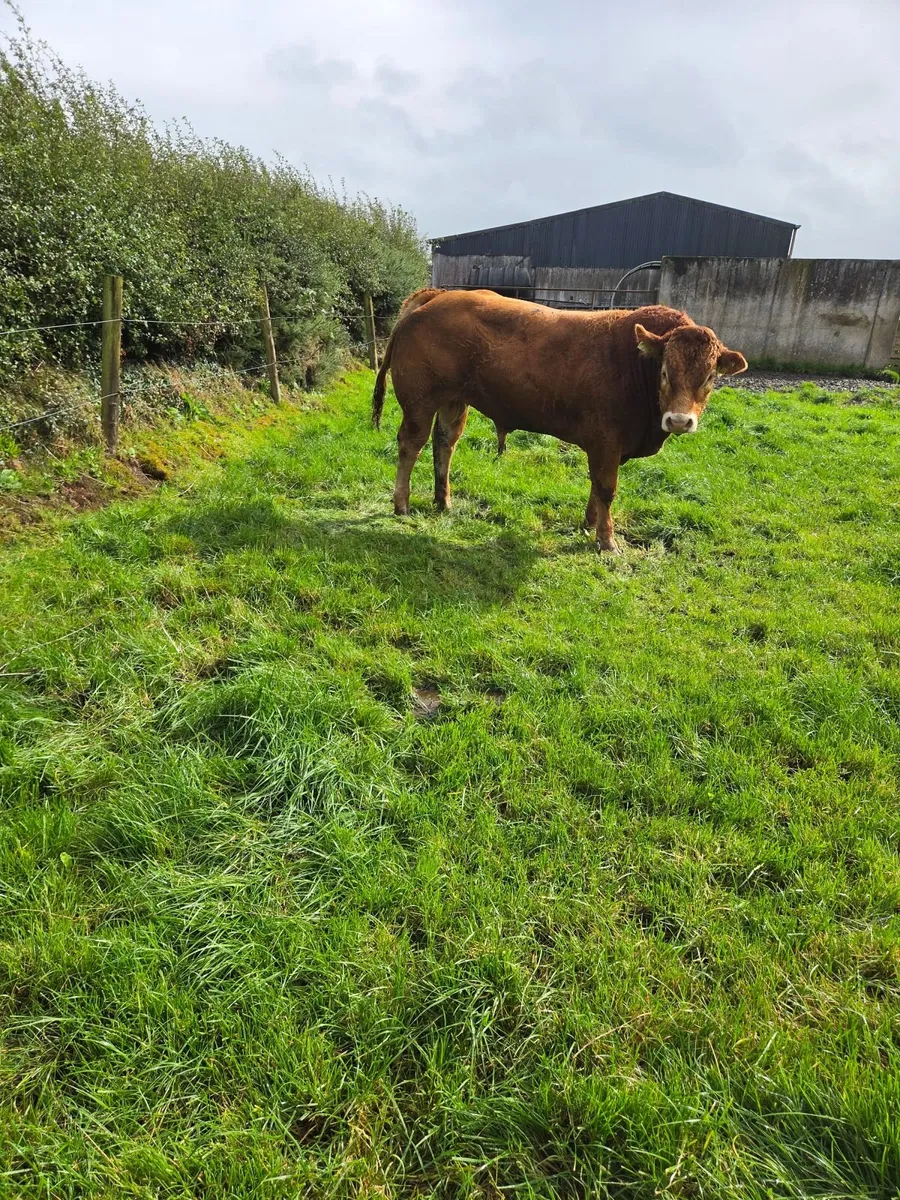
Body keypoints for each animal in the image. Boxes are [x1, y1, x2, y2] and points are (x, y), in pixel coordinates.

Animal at [371, 289, 747, 551]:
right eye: (666, 372)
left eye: (710, 378)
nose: (680, 421)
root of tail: (438, 295)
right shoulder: (607, 441)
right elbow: (607, 488)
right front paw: (607, 540)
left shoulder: (605, 447)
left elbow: (596, 486)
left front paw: (589, 523)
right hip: (419, 402)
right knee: (411, 445)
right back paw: (401, 504)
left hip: (454, 400)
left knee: (444, 444)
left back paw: (443, 501)